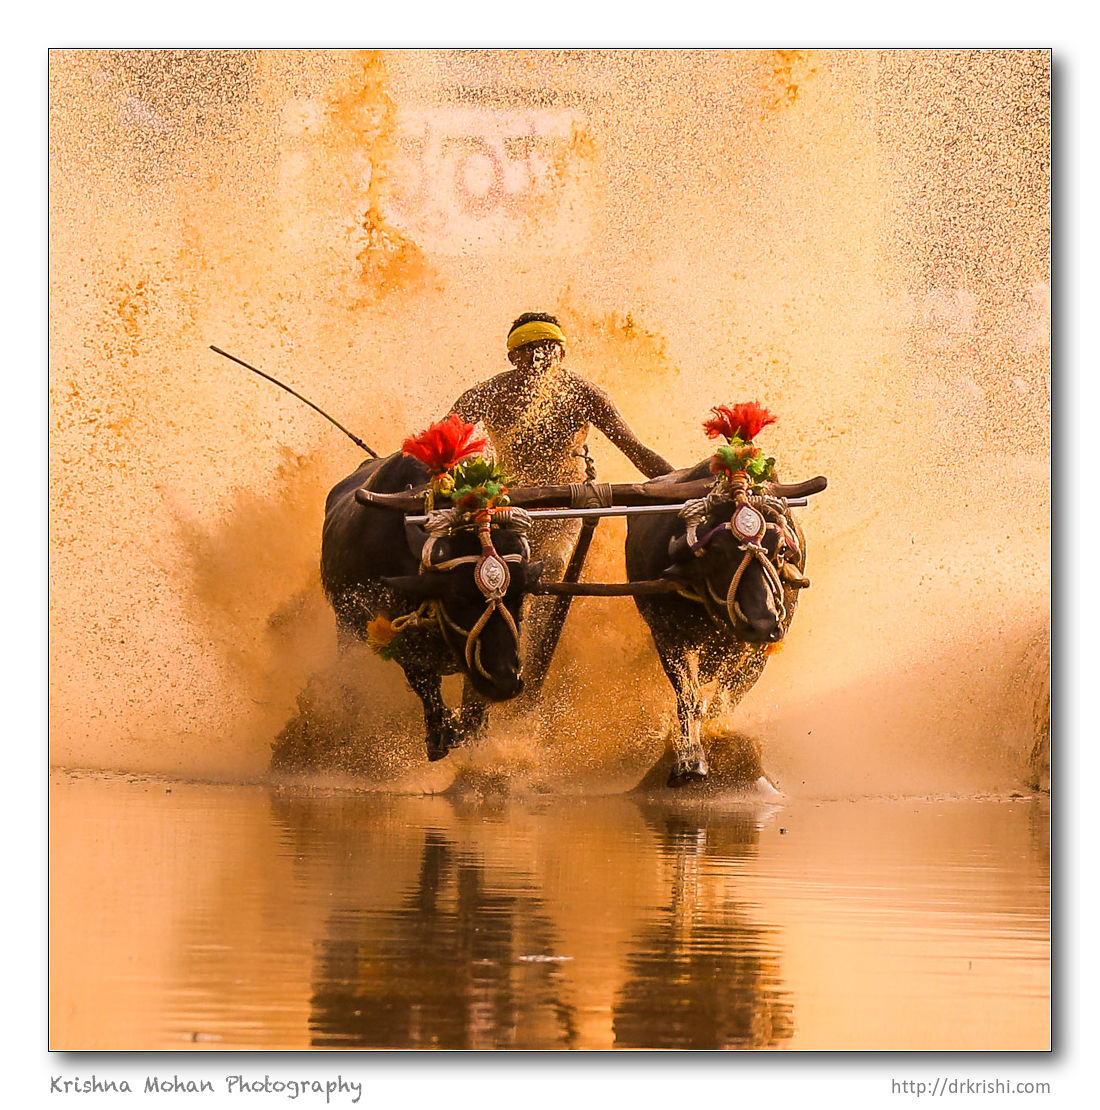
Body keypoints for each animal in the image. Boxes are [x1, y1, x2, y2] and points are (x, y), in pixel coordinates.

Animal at [317, 446, 541, 759]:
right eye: (458, 597)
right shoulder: (400, 641)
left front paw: (471, 728)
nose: (504, 683)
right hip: (346, 627)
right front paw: (441, 735)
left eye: (520, 593)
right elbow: (425, 683)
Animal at [626, 461, 825, 790]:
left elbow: (726, 699)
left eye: (781, 549)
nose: (762, 623)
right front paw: (690, 760)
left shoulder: (761, 652)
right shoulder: (667, 638)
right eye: (718, 551)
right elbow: (689, 698)